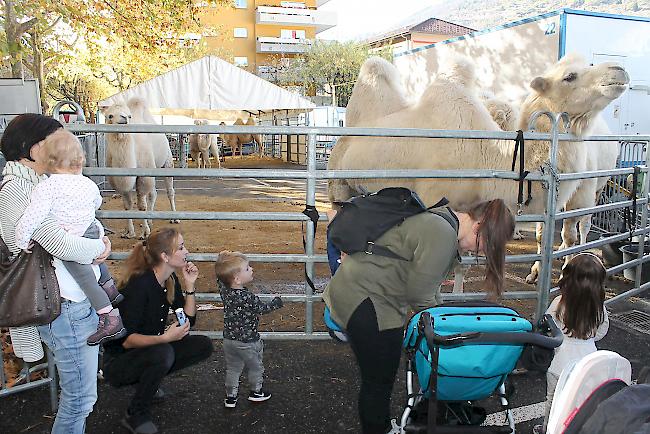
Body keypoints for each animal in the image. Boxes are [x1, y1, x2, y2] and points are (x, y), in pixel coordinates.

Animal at [101, 97, 178, 239]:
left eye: (129, 115)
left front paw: (145, 233)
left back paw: (174, 218)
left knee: (169, 191)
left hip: (167, 161)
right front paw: (129, 232)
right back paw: (150, 221)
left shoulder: (143, 176)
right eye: (110, 116)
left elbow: (142, 206)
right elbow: (127, 206)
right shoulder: (120, 182)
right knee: (153, 194)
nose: (123, 119)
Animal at [326, 53, 624, 284]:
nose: (618, 71)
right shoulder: (432, 201)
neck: (486, 153)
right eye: (569, 76)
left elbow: (461, 264)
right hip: (337, 184)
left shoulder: (475, 208)